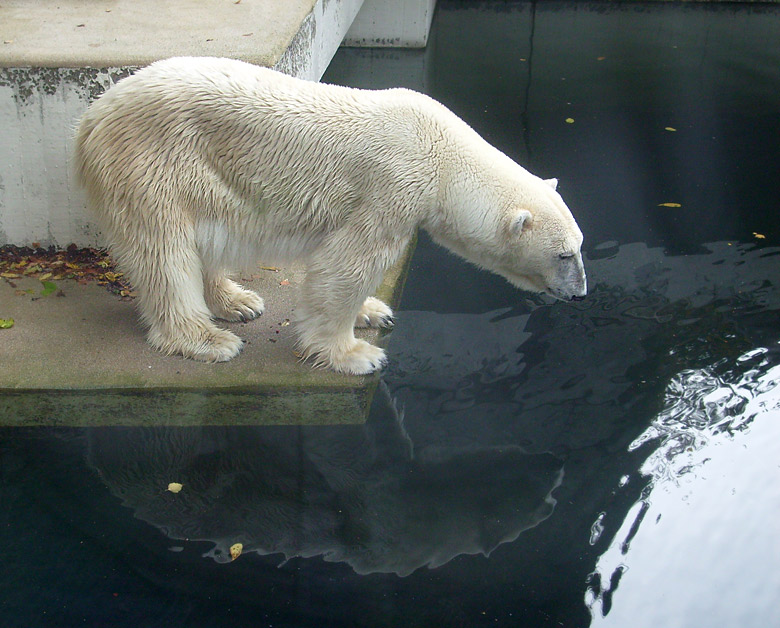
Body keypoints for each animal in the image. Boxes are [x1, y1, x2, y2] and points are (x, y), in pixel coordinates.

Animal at [74, 57, 584, 372]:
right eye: (563, 255)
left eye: (578, 247)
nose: (580, 293)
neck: (443, 155)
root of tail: (91, 118)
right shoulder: (392, 188)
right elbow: (346, 266)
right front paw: (356, 354)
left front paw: (374, 312)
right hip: (152, 164)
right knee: (165, 251)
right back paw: (208, 338)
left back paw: (238, 301)